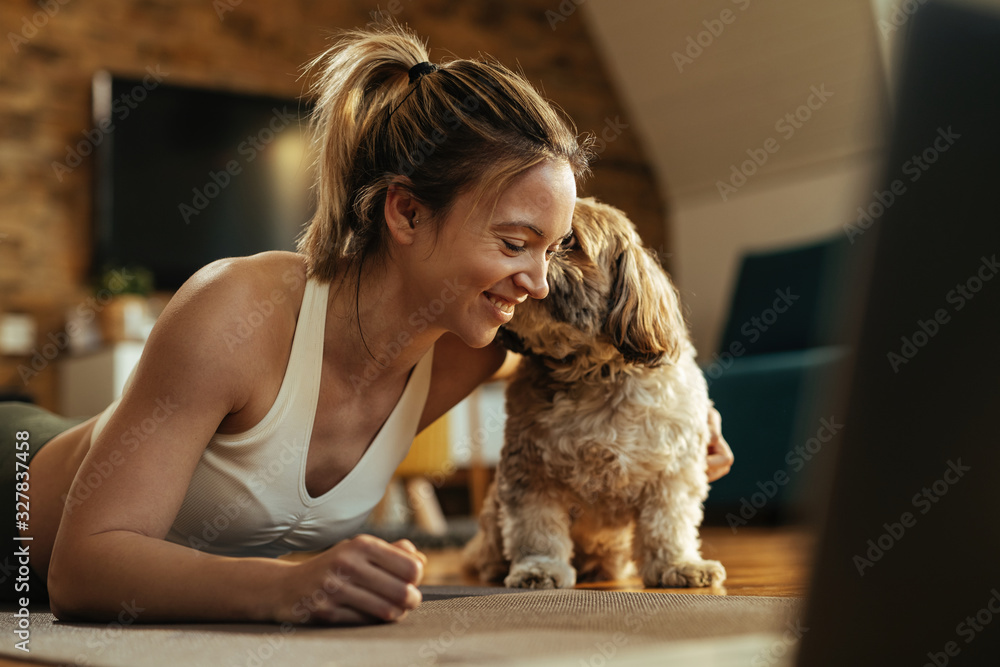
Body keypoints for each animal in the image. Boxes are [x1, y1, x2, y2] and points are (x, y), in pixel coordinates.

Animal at [460, 196, 728, 588]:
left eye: (567, 240)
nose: (515, 254)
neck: (593, 374)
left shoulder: (673, 472)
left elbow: (668, 526)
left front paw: (678, 565)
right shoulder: (530, 473)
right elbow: (536, 528)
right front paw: (539, 569)